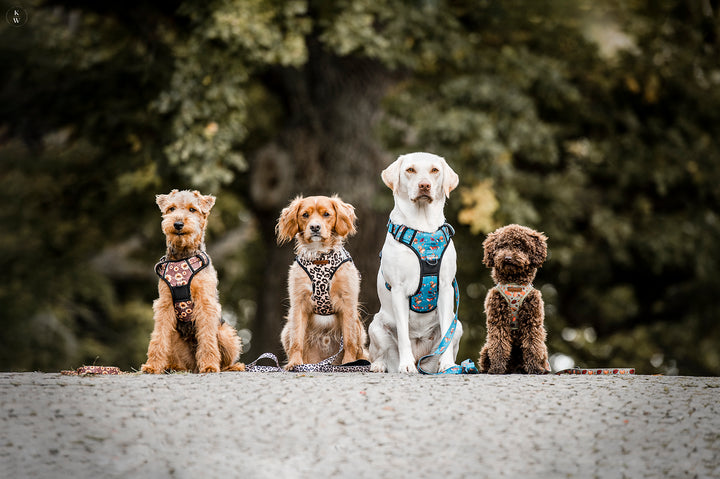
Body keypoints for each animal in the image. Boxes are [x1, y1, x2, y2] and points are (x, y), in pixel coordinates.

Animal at [141, 190, 245, 376]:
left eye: (192, 209)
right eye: (171, 208)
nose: (178, 224)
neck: (183, 255)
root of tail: (194, 366)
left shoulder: (205, 303)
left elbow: (207, 338)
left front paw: (209, 366)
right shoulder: (164, 304)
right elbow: (158, 337)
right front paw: (152, 366)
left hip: (225, 333)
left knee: (224, 360)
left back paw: (232, 366)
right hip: (176, 340)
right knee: (180, 361)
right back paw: (173, 367)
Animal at [372, 152, 462, 374]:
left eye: (435, 170)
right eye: (410, 170)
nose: (424, 185)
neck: (423, 227)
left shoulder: (446, 288)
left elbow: (447, 332)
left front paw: (448, 364)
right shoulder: (399, 290)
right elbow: (404, 334)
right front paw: (406, 365)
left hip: (458, 326)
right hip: (375, 326)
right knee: (378, 354)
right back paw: (381, 365)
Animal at [478, 225, 552, 376]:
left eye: (519, 246)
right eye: (502, 246)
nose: (507, 258)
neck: (514, 284)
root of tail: (514, 367)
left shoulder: (532, 321)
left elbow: (532, 345)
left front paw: (534, 368)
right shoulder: (498, 320)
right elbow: (499, 344)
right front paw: (497, 368)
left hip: (543, 351)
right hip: (485, 349)